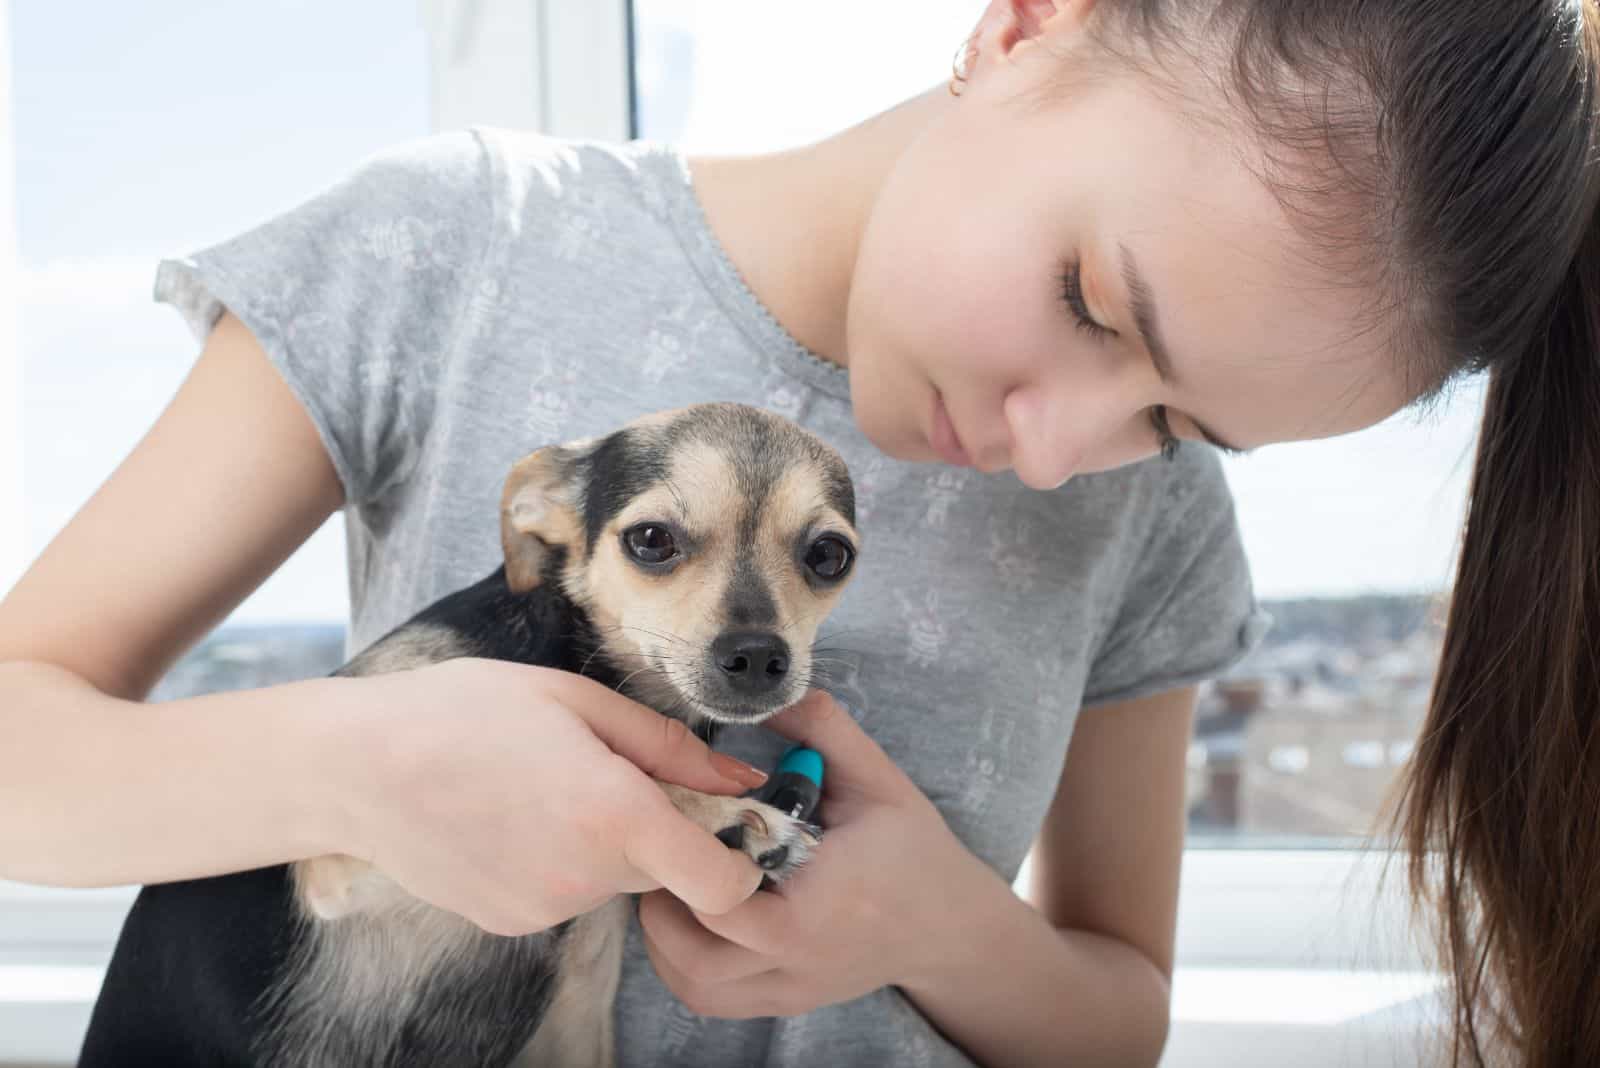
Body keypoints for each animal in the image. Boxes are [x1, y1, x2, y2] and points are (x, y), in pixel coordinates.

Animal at [81, 402, 864, 1068]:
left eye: (830, 555)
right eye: (651, 540)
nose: (758, 655)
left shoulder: (576, 1012)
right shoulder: (341, 859)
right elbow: (624, 775)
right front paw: (725, 817)